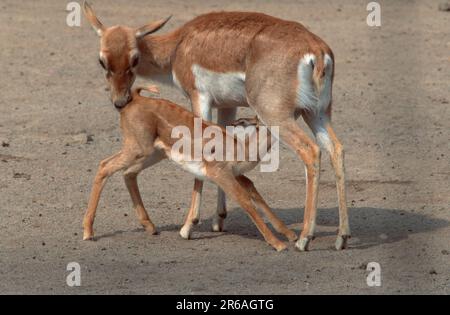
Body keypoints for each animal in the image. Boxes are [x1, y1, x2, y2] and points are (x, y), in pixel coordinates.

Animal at [84, 0, 352, 252]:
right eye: (102, 61)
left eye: (135, 58)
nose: (120, 101)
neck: (180, 46)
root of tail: (316, 50)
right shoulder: (227, 106)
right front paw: (218, 219)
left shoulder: (199, 98)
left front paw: (188, 227)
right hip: (316, 114)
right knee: (336, 149)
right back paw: (342, 237)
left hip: (279, 118)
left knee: (311, 151)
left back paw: (305, 238)